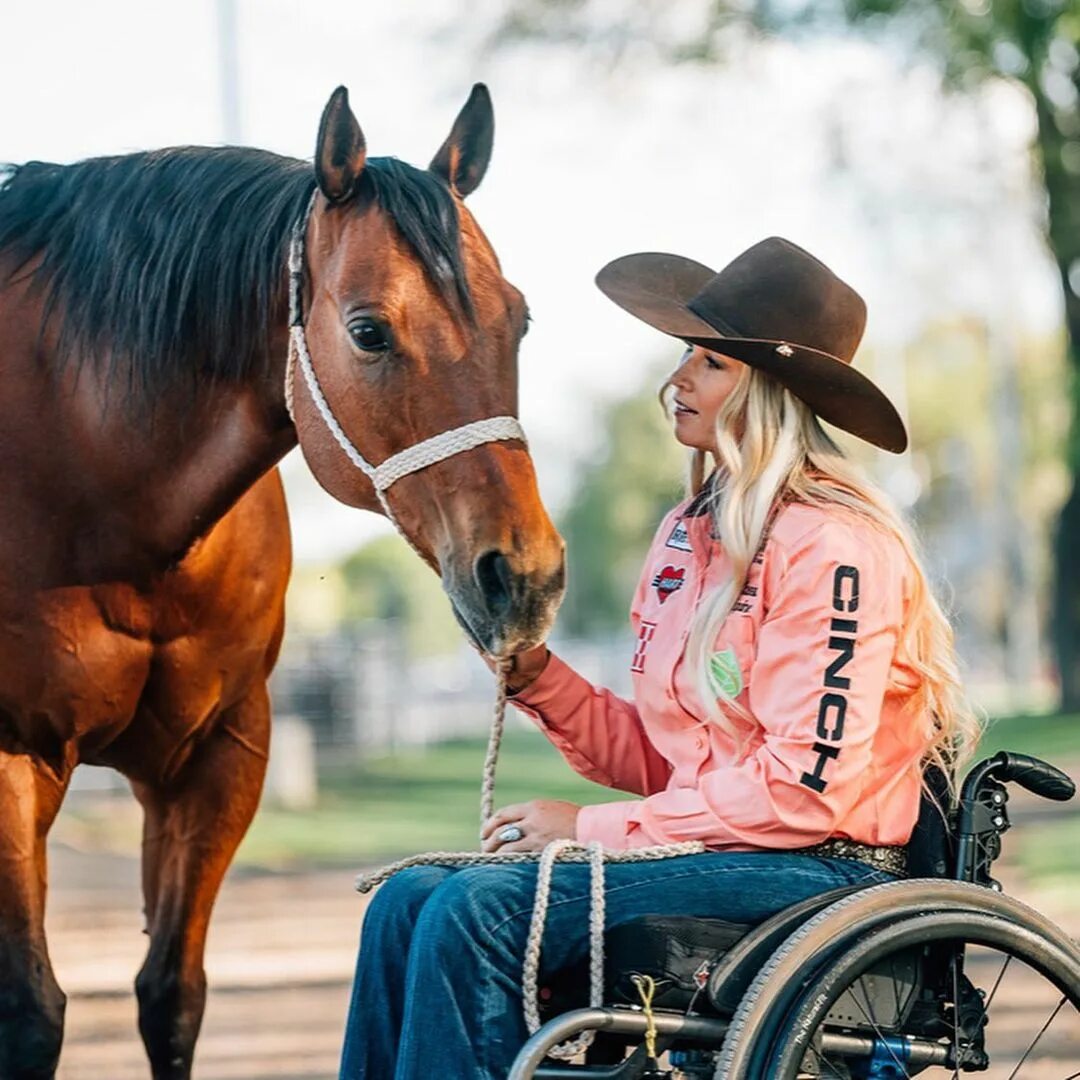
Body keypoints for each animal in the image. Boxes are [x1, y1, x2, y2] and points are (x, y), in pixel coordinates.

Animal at [0, 86, 570, 1080]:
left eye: (521, 319)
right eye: (369, 330)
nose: (524, 576)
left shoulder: (219, 756)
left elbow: (173, 998)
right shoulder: (11, 757)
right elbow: (33, 1013)